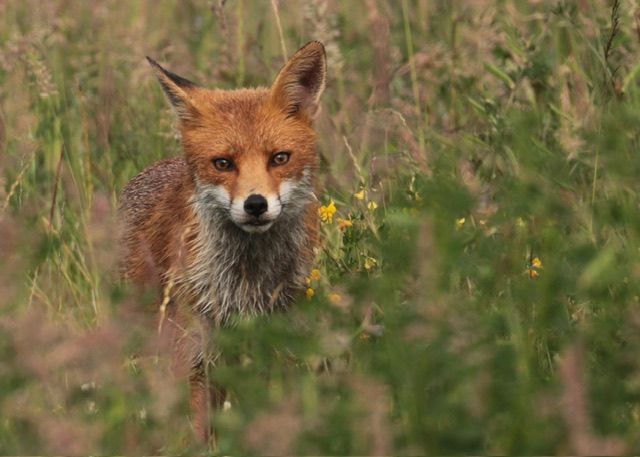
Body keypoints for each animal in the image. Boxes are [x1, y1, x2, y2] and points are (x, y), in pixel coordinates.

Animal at [118, 41, 327, 442]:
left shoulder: (279, 338)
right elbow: (199, 429)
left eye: (280, 158)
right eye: (223, 163)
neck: (247, 281)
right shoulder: (196, 352)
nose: (256, 204)